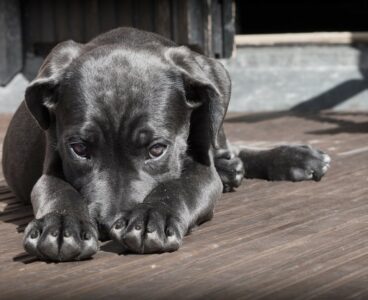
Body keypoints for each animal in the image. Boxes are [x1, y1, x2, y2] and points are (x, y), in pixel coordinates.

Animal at [2, 28, 330, 262]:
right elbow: (57, 189)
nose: (108, 225)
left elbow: (179, 186)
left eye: (157, 149)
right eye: (79, 149)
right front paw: (60, 226)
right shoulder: (51, 162)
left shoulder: (201, 168)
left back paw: (292, 158)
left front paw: (151, 217)